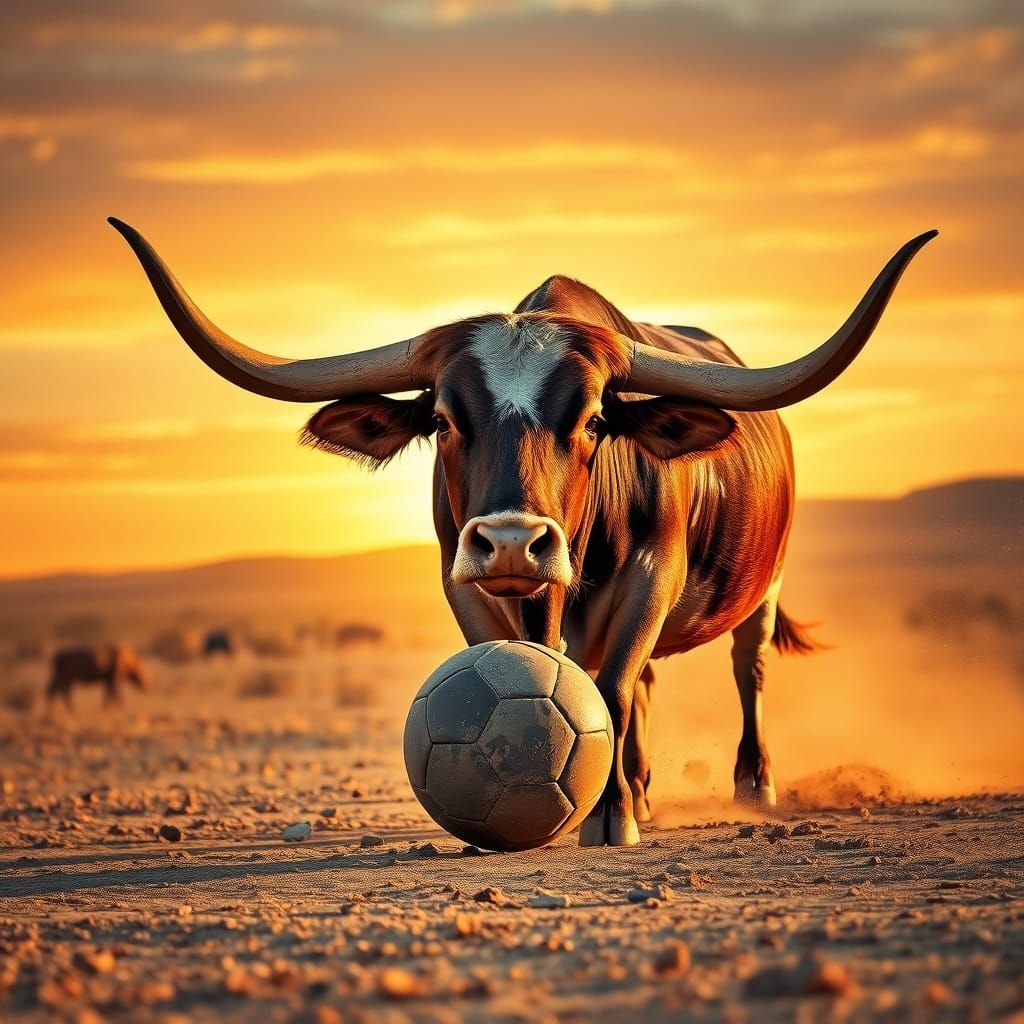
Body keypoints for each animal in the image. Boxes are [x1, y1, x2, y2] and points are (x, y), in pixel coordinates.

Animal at [110, 216, 935, 845]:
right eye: (444, 420)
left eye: (596, 420)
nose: (512, 542)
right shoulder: (464, 581)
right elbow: (571, 673)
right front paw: (605, 802)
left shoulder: (652, 576)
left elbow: (609, 687)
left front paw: (610, 818)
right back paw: (642, 786)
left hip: (763, 588)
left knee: (745, 669)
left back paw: (749, 784)